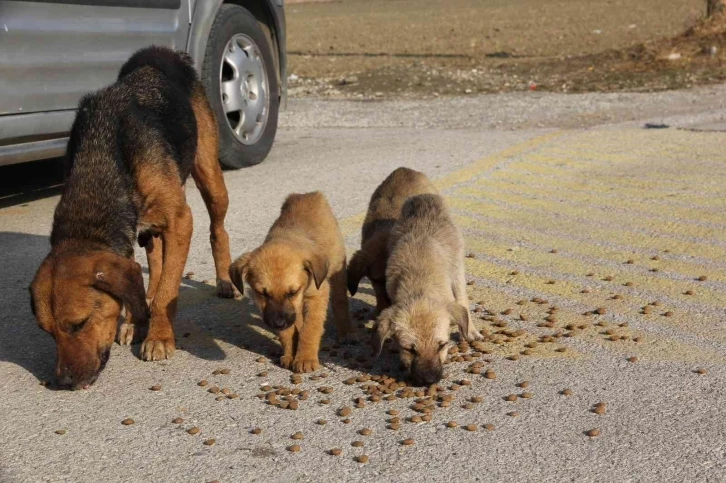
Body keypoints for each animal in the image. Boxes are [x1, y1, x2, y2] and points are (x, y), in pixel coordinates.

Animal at [30, 47, 236, 392]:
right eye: (48, 332)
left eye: (79, 324)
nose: (64, 382)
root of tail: (162, 51)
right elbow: (144, 282)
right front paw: (137, 322)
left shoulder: (180, 221)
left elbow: (168, 291)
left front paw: (159, 337)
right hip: (150, 228)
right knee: (154, 260)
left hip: (209, 175)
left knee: (217, 229)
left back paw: (225, 282)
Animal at [230, 193, 356, 374]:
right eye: (262, 293)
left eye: (292, 292)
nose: (278, 324)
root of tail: (309, 194)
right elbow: (289, 332)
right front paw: (290, 355)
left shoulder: (318, 294)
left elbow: (310, 329)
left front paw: (305, 359)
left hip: (337, 269)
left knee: (340, 302)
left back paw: (346, 332)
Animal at [376, 193, 484, 386]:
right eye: (409, 349)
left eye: (442, 345)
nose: (429, 381)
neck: (419, 284)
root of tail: (425, 196)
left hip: (457, 265)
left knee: (463, 298)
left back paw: (470, 331)